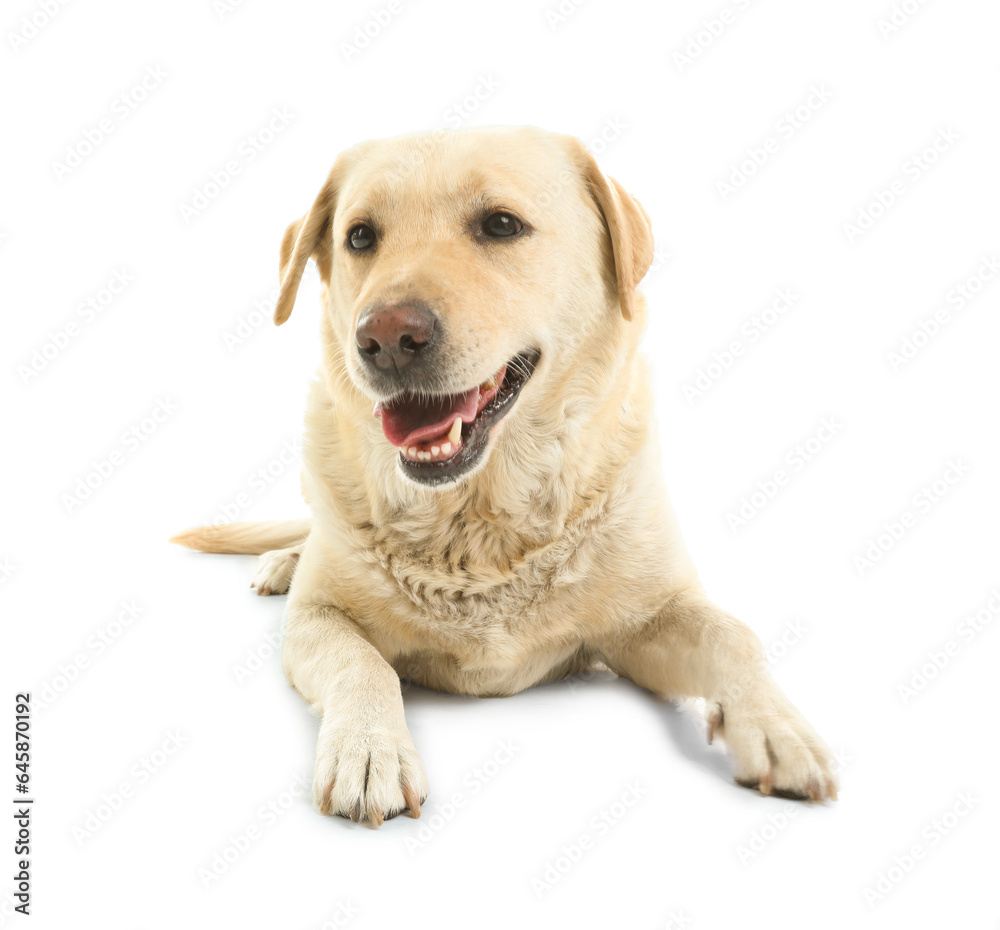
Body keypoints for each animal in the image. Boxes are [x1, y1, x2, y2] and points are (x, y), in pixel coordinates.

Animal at [172, 125, 836, 828]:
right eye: (359, 237)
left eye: (500, 224)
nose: (384, 337)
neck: (477, 521)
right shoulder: (316, 618)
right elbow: (364, 663)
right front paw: (369, 749)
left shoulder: (651, 619)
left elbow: (733, 636)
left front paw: (779, 730)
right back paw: (282, 562)